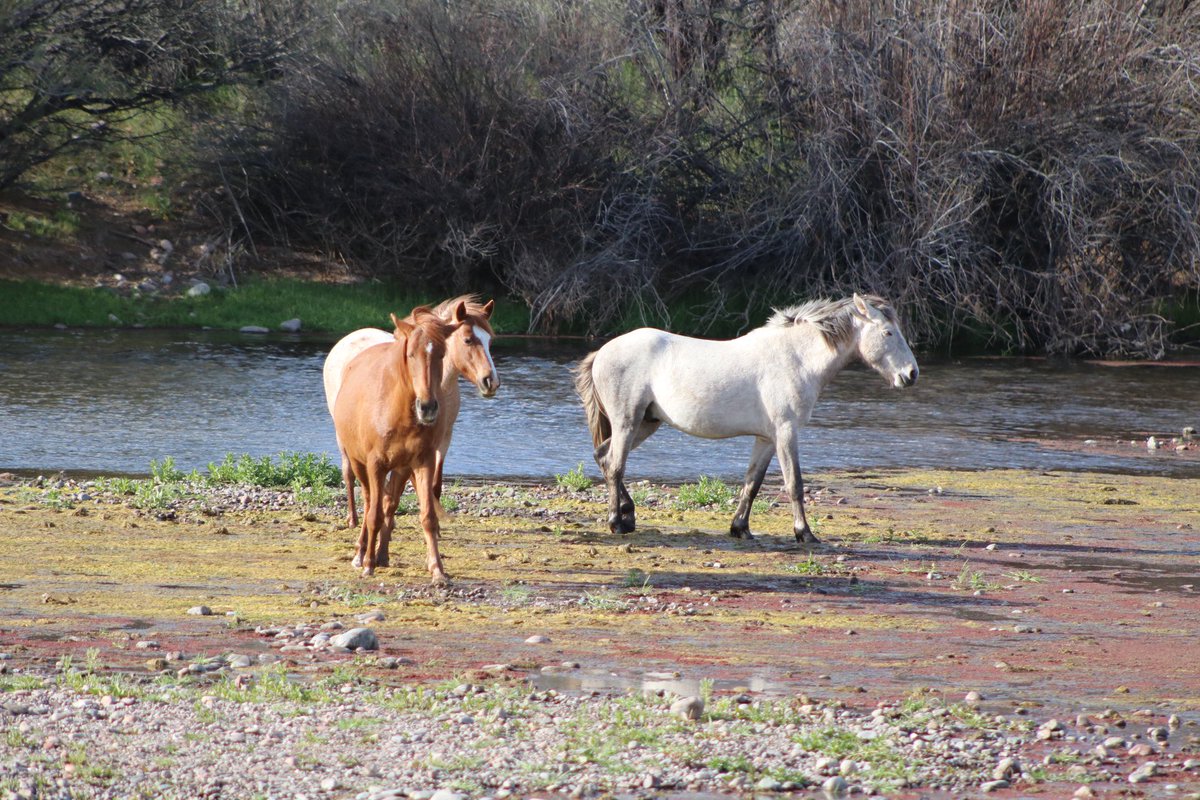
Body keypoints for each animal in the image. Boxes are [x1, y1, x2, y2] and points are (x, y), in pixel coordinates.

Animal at [323, 296, 499, 530]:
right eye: (468, 340)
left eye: (489, 341)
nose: (491, 382)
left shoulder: (443, 440)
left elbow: (433, 485)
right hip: (343, 434)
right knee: (349, 472)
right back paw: (353, 518)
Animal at [332, 307, 451, 581]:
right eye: (411, 354)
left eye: (442, 353)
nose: (427, 407)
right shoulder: (376, 464)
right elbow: (374, 514)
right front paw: (368, 564)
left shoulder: (424, 462)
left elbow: (428, 517)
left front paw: (437, 570)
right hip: (358, 462)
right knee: (368, 503)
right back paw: (362, 553)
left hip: (401, 467)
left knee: (388, 503)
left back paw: (381, 554)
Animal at [574, 294, 919, 543]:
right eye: (888, 332)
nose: (911, 374)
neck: (796, 359)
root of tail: (602, 352)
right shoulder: (786, 432)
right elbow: (794, 484)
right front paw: (804, 533)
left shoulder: (766, 438)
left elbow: (752, 482)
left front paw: (740, 527)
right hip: (627, 421)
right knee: (615, 465)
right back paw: (617, 523)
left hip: (646, 422)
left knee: (603, 457)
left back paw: (629, 515)